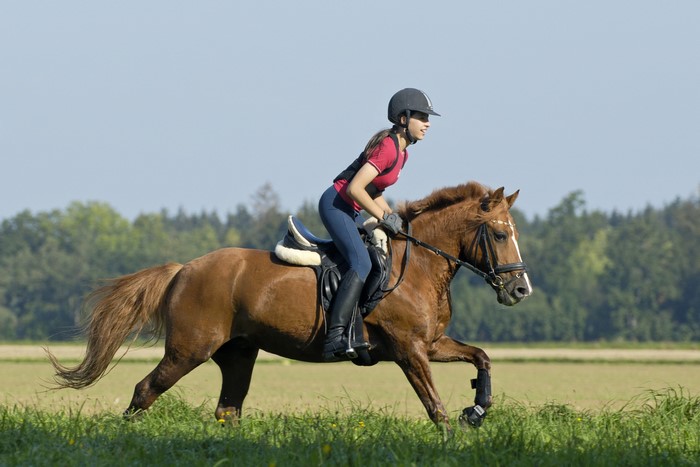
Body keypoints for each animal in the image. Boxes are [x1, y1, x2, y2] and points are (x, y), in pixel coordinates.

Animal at [48, 181, 532, 429]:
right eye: (500, 234)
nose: (520, 291)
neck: (417, 265)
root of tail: (184, 269)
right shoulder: (409, 350)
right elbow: (435, 408)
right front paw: (457, 431)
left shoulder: (430, 343)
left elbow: (482, 358)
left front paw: (478, 408)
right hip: (189, 350)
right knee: (145, 391)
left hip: (238, 354)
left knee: (227, 410)